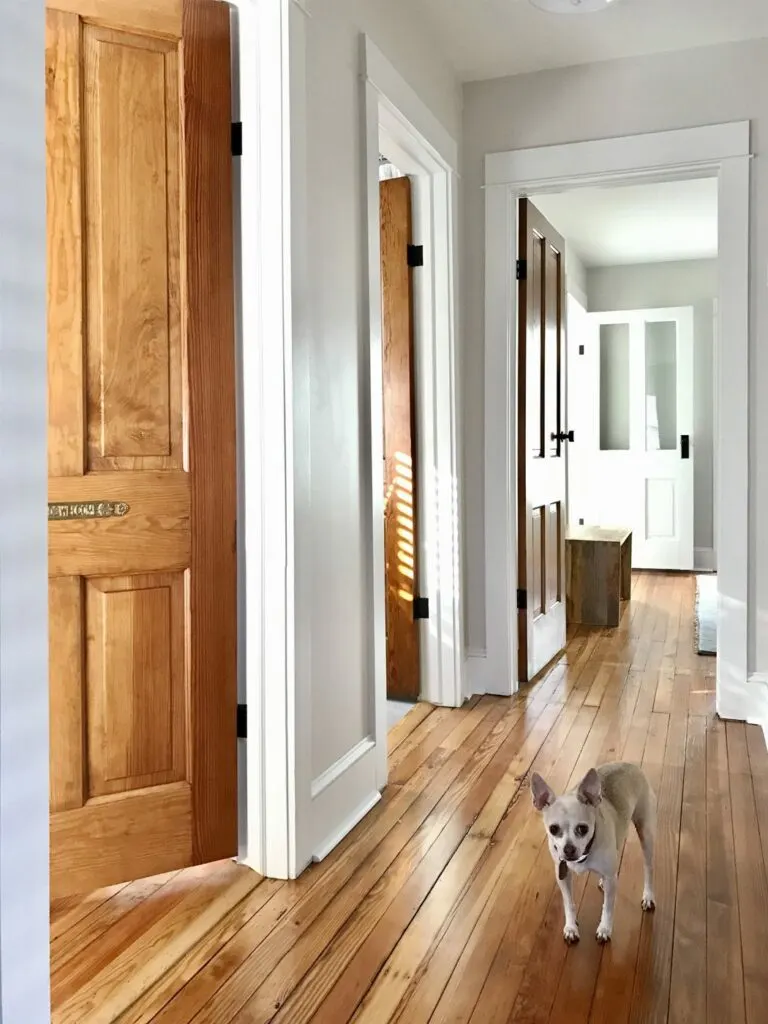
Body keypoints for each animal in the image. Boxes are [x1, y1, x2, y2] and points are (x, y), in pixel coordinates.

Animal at [532, 761, 659, 942]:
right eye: (553, 829)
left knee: (648, 867)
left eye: (583, 828)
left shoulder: (611, 878)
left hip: (645, 832)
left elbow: (608, 907)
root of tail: (630, 764)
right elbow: (568, 903)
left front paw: (605, 928)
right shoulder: (562, 876)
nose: (568, 849)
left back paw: (648, 896)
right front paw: (571, 926)